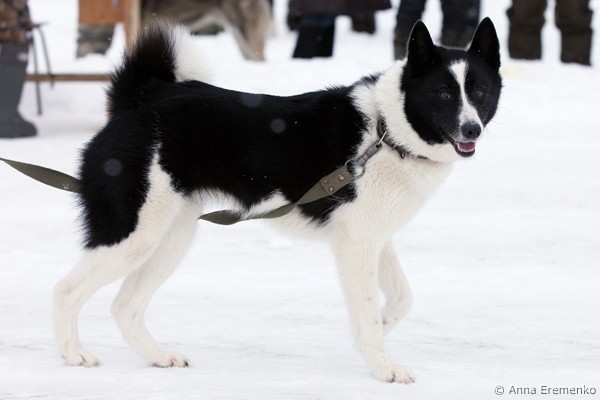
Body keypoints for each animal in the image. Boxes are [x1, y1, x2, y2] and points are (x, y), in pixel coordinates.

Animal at [53, 19, 502, 383]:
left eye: (479, 90)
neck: (385, 131)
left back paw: (159, 357)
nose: (471, 129)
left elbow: (401, 298)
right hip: (134, 234)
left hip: (169, 239)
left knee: (124, 306)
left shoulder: (373, 237)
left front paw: (382, 325)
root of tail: (140, 101)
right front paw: (383, 365)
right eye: (443, 93)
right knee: (66, 288)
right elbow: (369, 306)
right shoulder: (356, 243)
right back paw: (74, 355)